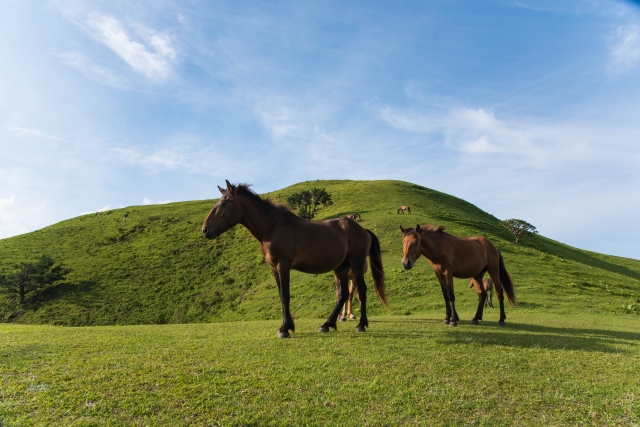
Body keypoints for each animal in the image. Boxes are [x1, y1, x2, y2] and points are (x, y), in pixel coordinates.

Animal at [202, 182, 388, 340]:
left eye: (224, 203)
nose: (205, 229)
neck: (273, 227)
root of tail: (363, 230)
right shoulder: (273, 268)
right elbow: (281, 295)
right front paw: (288, 326)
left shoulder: (283, 265)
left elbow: (285, 295)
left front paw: (285, 329)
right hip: (341, 268)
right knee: (342, 295)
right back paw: (326, 325)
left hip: (356, 264)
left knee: (361, 292)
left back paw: (361, 325)